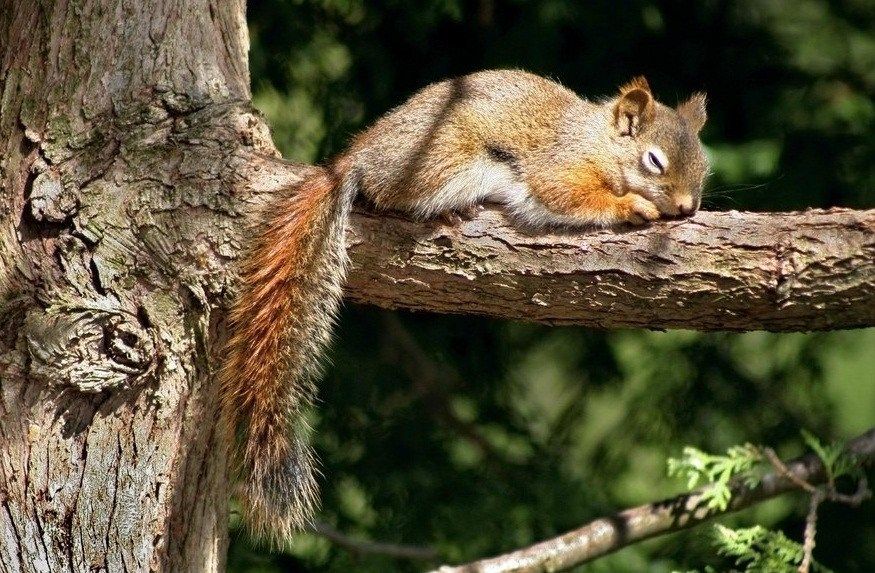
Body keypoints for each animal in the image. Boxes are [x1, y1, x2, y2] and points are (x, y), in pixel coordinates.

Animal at [220, 69, 709, 540]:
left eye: (705, 166)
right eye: (654, 160)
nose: (687, 207)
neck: (597, 141)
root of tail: (357, 157)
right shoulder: (559, 166)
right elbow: (569, 194)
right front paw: (631, 204)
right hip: (441, 161)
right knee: (386, 194)